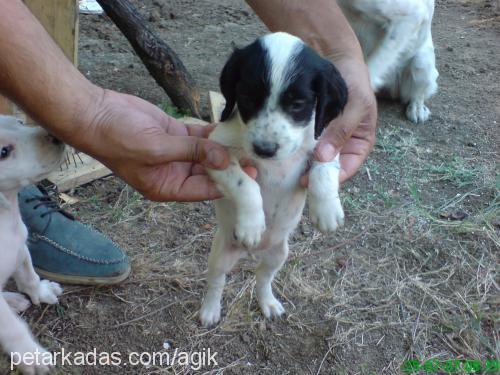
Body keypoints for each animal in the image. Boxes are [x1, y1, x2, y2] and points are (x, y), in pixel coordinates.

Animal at [0, 116, 65, 374]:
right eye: (3, 152)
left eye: (19, 120)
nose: (56, 136)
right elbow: (12, 328)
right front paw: (32, 356)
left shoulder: (21, 246)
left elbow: (30, 277)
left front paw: (43, 292)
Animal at [199, 32, 348, 328]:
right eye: (246, 97)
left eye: (298, 105)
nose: (264, 150)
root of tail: (253, 252)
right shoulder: (215, 153)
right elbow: (245, 183)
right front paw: (252, 224)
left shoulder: (322, 142)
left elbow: (324, 168)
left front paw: (326, 210)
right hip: (220, 254)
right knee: (217, 281)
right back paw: (210, 310)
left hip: (279, 254)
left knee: (262, 276)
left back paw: (267, 302)